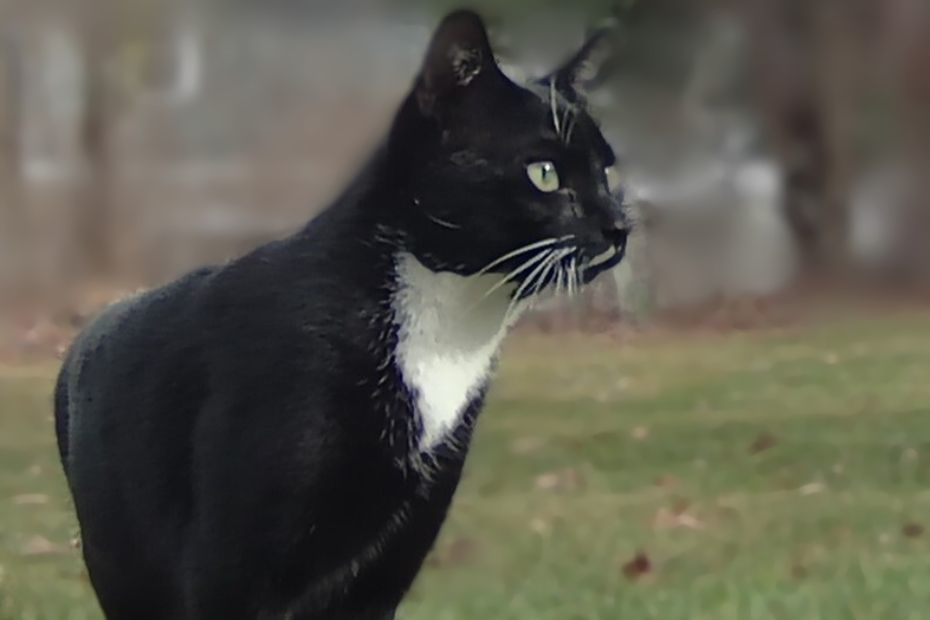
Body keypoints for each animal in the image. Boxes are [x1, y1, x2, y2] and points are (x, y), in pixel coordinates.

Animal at [56, 10, 632, 620]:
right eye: (544, 173)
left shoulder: (396, 549)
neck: (445, 329)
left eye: (608, 172)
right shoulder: (228, 563)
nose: (619, 225)